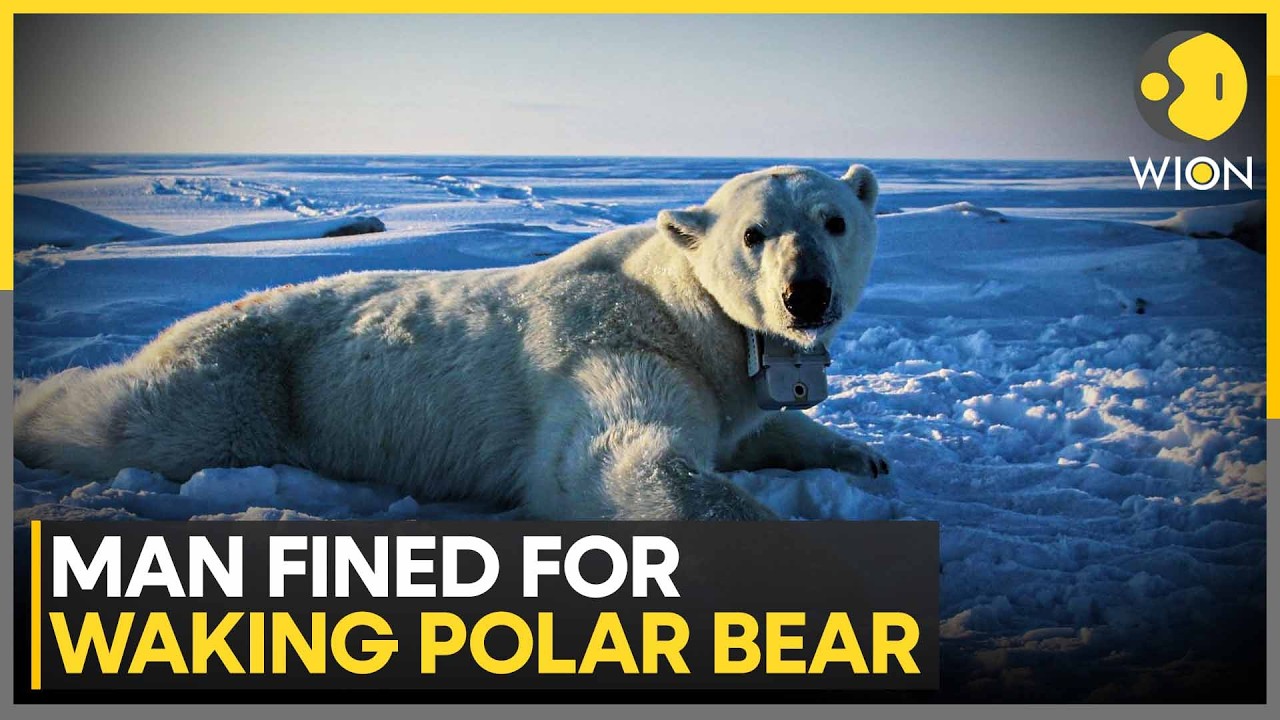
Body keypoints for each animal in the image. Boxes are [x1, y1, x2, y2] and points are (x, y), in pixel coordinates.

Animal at [14, 163, 889, 520]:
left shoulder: (712, 372)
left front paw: (861, 455)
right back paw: (30, 403)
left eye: (834, 220)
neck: (679, 308)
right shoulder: (614, 345)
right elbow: (612, 462)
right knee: (133, 418)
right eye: (753, 233)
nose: (806, 295)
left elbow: (752, 426)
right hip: (246, 384)